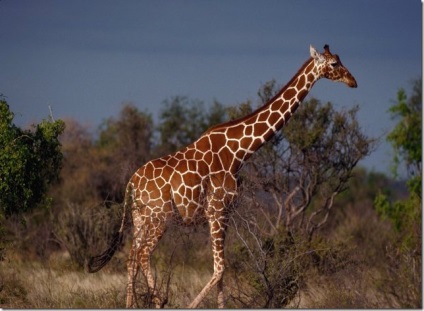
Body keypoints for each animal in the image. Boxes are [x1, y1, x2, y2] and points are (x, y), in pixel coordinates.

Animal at [88, 44, 358, 310]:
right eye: (334, 63)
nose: (353, 81)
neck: (239, 151)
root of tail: (132, 182)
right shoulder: (217, 209)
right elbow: (220, 268)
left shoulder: (223, 212)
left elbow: (221, 270)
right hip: (159, 217)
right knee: (143, 255)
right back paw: (158, 301)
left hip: (140, 218)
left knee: (131, 257)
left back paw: (130, 305)